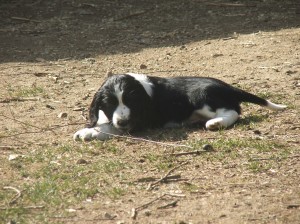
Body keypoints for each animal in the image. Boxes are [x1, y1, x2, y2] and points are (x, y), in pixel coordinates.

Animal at [73, 72, 286, 141]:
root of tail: (228, 87)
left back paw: (215, 123)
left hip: (201, 96)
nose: (123, 122)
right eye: (110, 104)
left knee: (234, 111)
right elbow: (105, 120)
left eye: (131, 102)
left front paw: (88, 132)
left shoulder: (138, 122)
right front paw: (92, 127)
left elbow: (110, 127)